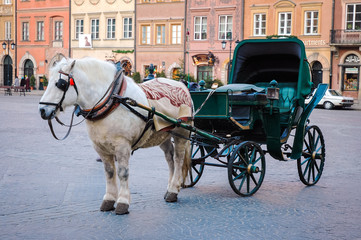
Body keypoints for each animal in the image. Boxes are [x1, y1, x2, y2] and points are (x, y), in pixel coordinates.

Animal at [38, 57, 191, 215]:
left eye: (61, 84)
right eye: (49, 81)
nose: (42, 110)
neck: (112, 100)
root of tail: (180, 84)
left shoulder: (122, 146)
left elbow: (123, 173)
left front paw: (123, 201)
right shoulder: (100, 147)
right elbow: (109, 172)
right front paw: (109, 199)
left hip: (182, 133)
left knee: (178, 159)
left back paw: (173, 189)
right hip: (162, 135)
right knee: (169, 158)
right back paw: (170, 187)